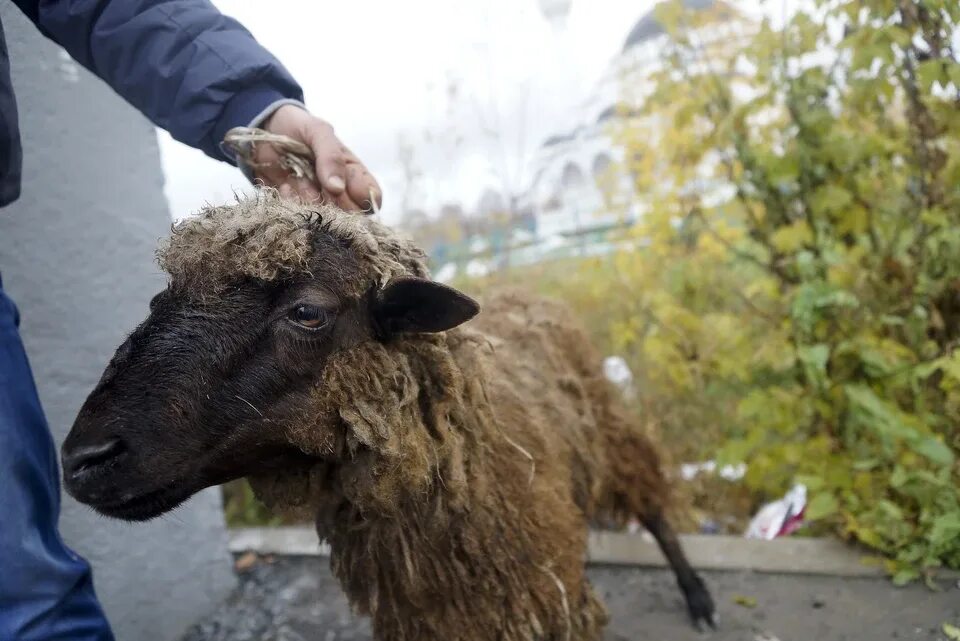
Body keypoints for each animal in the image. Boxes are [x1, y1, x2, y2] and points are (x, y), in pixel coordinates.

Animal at [62, 188, 712, 636]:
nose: (81, 460)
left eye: (307, 312)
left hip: (607, 421)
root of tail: (531, 295)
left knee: (653, 505)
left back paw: (697, 595)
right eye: (158, 299)